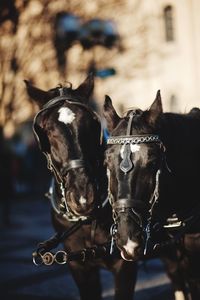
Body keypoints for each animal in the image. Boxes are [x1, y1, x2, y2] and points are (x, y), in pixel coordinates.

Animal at [25, 76, 138, 300]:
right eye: (46, 131)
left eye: (91, 124)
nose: (83, 197)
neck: (88, 220)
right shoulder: (80, 267)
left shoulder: (125, 265)